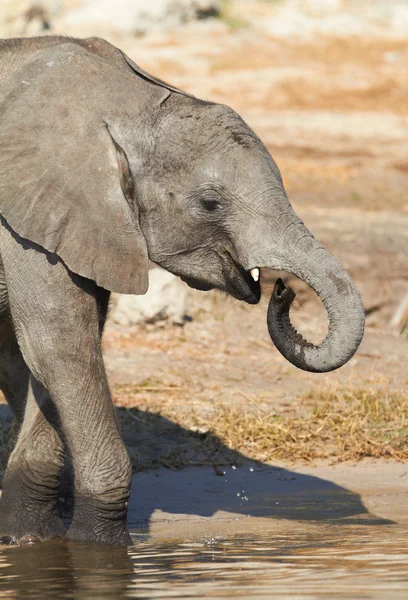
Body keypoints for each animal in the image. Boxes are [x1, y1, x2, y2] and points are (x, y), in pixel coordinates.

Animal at [0, 35, 364, 548]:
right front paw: (100, 548)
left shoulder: (82, 222)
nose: (281, 291)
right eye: (210, 204)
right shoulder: (25, 217)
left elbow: (56, 351)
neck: (125, 104)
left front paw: (32, 539)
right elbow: (59, 341)